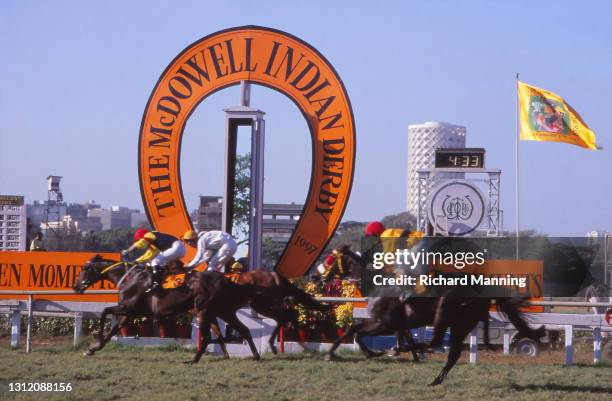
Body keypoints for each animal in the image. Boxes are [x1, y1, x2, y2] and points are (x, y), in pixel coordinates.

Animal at [326, 245, 544, 386]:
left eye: (330, 260)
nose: (322, 276)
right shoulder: (388, 322)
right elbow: (355, 330)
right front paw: (338, 353)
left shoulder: (385, 323)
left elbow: (357, 331)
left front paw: (374, 352)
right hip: (460, 324)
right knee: (452, 354)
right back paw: (435, 379)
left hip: (447, 315)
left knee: (437, 342)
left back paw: (407, 352)